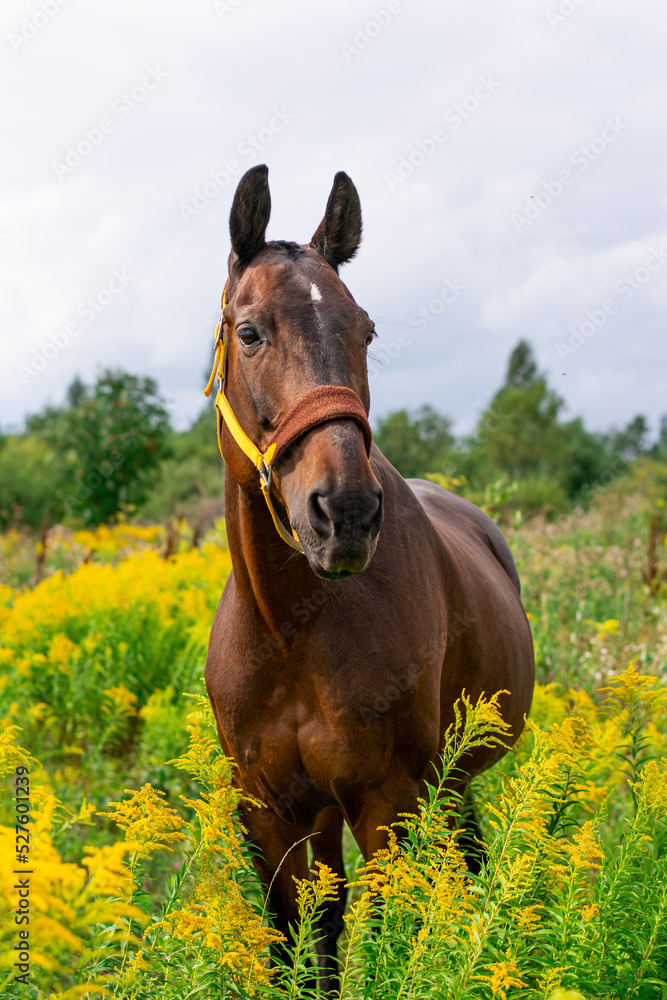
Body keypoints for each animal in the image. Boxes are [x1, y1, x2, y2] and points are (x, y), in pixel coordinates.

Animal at [204, 164, 535, 993]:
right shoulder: (272, 813)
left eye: (365, 331)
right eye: (249, 331)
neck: (290, 630)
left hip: (443, 781)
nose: (346, 511)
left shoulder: (384, 799)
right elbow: (304, 945)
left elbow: (385, 940)